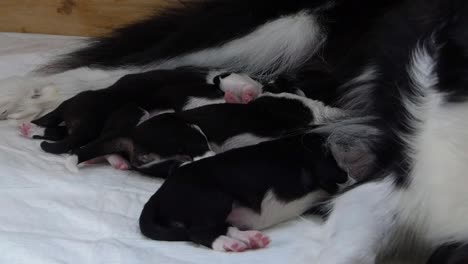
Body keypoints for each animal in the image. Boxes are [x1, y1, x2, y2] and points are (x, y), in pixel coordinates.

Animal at [137, 129, 372, 252]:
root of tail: (157, 197)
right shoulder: (325, 167)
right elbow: (340, 179)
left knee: (220, 226)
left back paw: (250, 238)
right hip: (215, 198)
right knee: (199, 232)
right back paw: (229, 243)